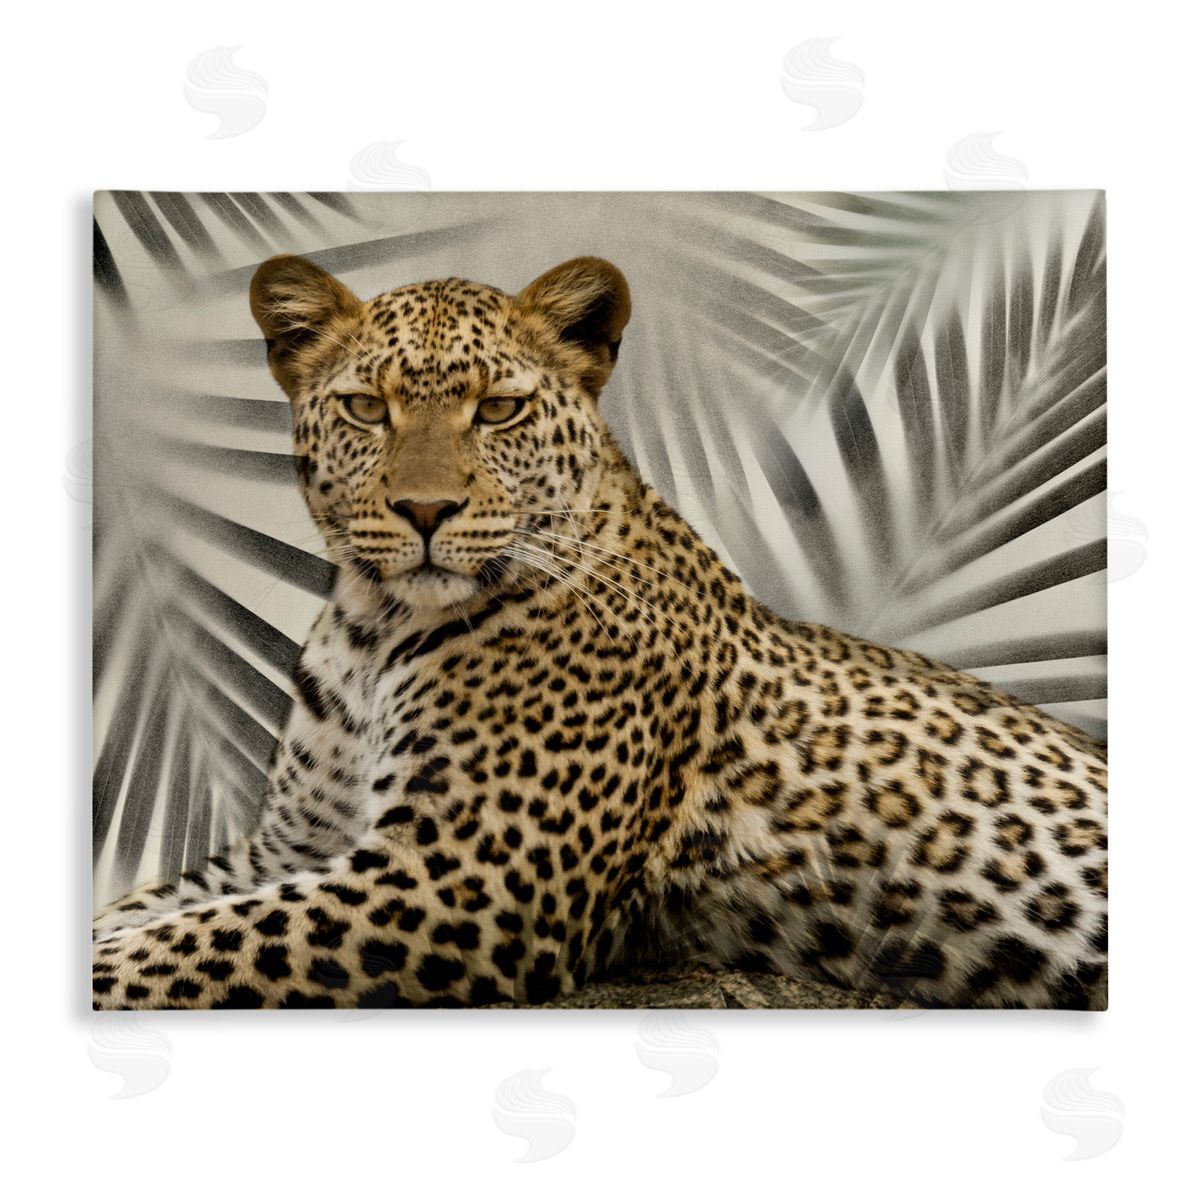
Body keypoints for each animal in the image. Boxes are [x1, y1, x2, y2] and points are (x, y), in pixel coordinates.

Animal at [92, 253, 1108, 1010]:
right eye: (366, 408)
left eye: (498, 409)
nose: (425, 511)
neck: (375, 629)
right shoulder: (290, 850)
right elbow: (147, 913)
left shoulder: (459, 880)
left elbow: (175, 948)